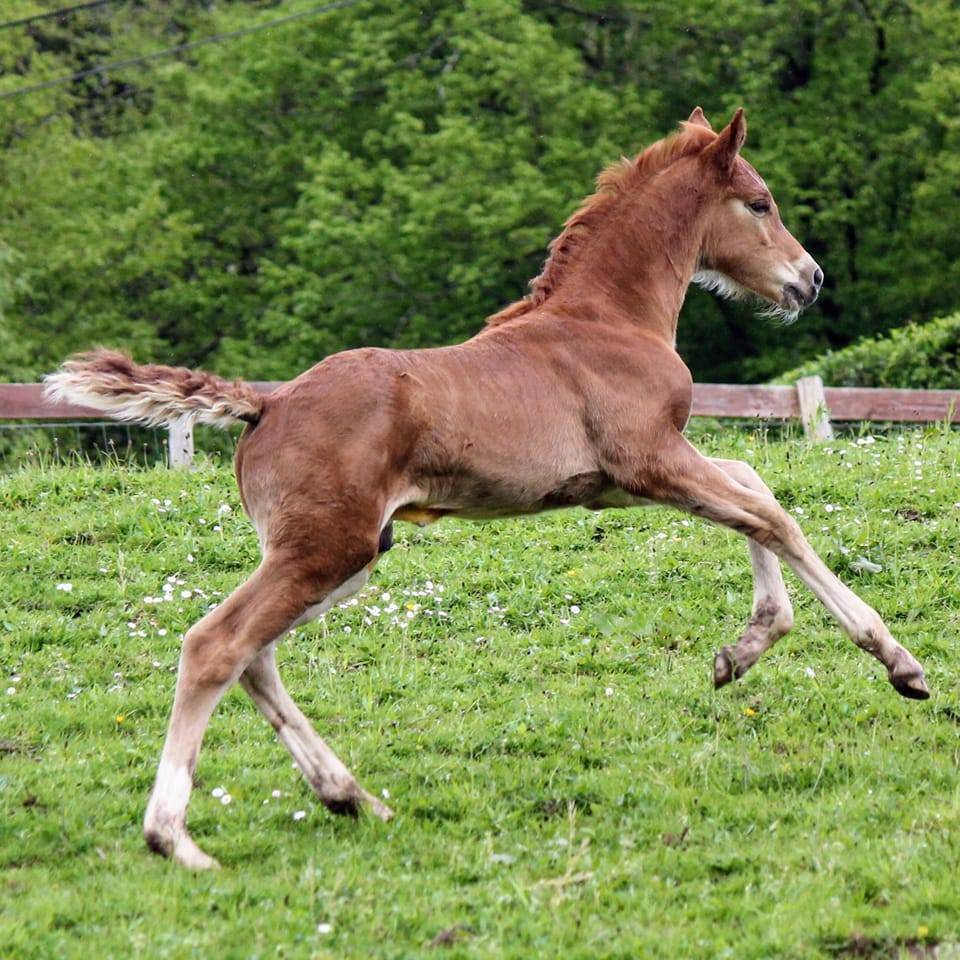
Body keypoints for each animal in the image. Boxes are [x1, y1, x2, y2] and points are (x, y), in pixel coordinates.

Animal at [45, 107, 930, 870]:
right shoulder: (650, 460)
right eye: (760, 202)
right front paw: (897, 663)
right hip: (325, 550)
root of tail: (268, 403)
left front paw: (742, 650)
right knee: (214, 645)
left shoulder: (626, 479)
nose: (810, 279)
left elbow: (752, 491)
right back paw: (177, 840)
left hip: (342, 554)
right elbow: (774, 514)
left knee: (254, 656)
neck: (608, 319)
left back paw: (352, 797)